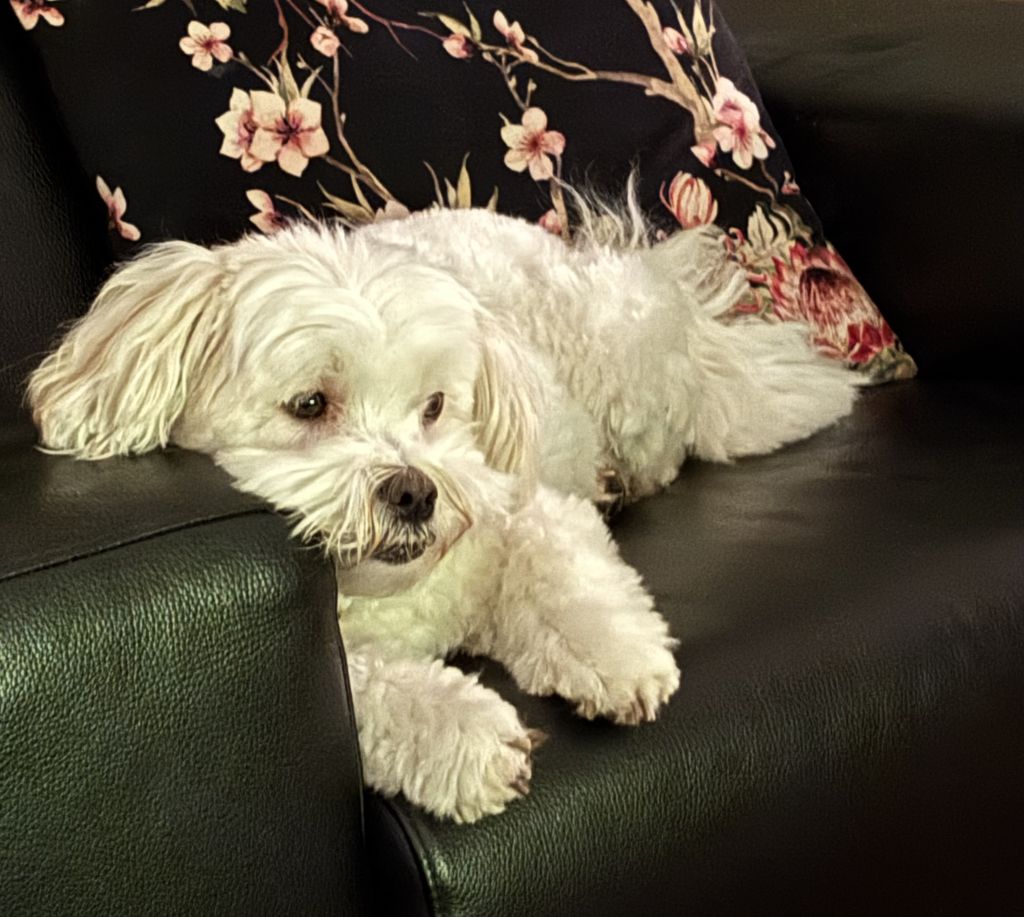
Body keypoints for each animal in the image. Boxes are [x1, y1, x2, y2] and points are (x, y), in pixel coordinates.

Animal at [27, 202, 857, 823]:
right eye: (309, 404)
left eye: (433, 406)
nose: (415, 491)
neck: (391, 595)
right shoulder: (343, 661)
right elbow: (360, 690)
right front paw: (463, 735)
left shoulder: (520, 501)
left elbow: (563, 565)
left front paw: (615, 657)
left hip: (630, 381)